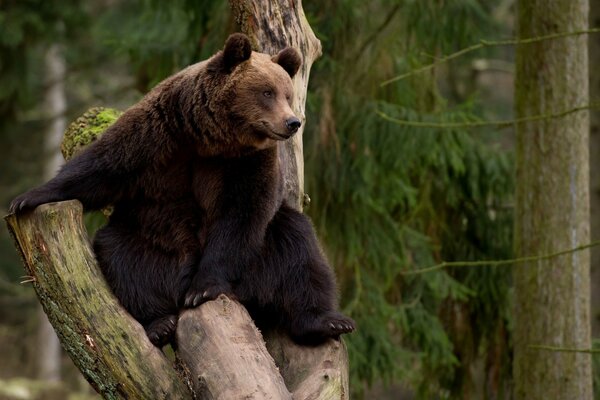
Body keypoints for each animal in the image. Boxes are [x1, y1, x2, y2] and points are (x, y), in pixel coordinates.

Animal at [9, 33, 354, 346]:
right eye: (267, 92)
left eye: (287, 94)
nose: (292, 122)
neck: (210, 138)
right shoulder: (158, 133)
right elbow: (102, 168)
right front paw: (26, 198)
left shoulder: (248, 163)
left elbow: (243, 214)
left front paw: (203, 287)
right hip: (150, 240)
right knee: (121, 258)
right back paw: (159, 322)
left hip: (261, 255)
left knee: (300, 253)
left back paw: (326, 321)